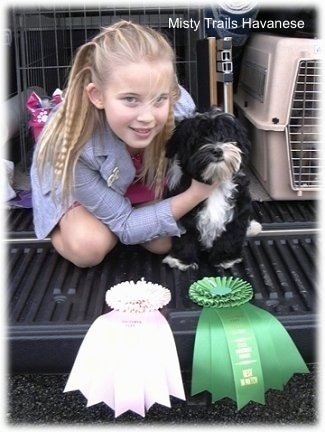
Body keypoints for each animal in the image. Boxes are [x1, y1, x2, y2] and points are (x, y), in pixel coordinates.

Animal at [163, 107, 260, 270]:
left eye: (225, 137)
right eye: (199, 139)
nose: (217, 150)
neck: (214, 184)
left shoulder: (238, 211)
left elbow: (230, 236)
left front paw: (225, 259)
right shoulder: (185, 210)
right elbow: (185, 236)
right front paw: (182, 260)